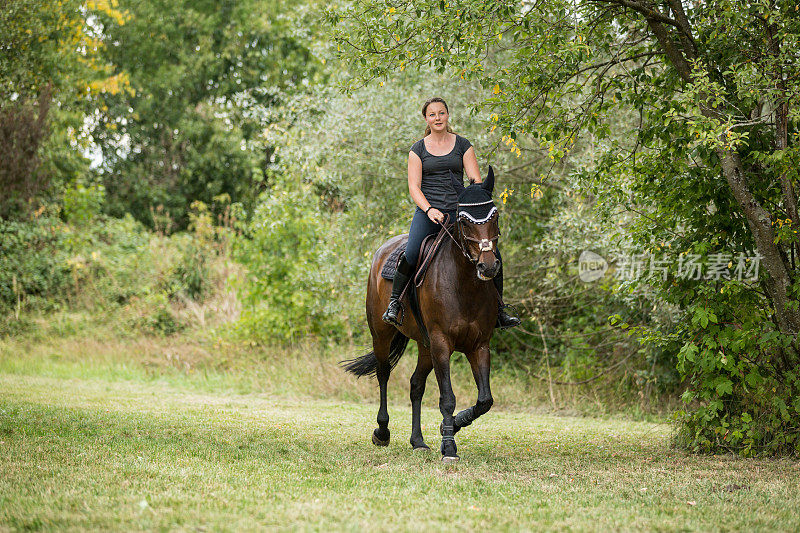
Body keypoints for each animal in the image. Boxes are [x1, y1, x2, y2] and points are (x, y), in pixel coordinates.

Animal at [342, 166, 500, 462]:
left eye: (494, 216)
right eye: (464, 221)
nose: (488, 266)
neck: (463, 284)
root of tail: (383, 249)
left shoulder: (479, 345)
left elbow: (485, 400)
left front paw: (450, 427)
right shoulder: (442, 343)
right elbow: (447, 398)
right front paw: (449, 447)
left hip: (425, 345)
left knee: (416, 385)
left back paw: (418, 440)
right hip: (383, 335)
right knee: (383, 373)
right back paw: (382, 432)